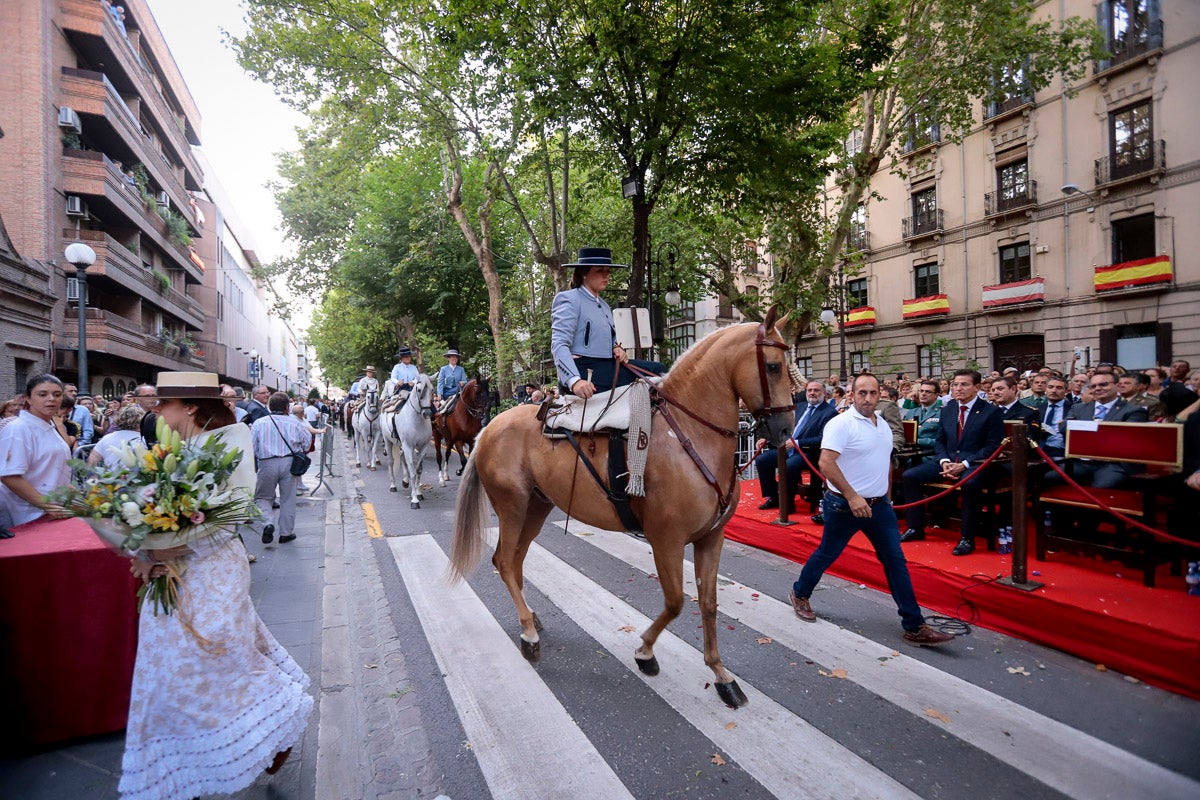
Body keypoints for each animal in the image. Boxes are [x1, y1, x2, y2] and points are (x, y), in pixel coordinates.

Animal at [379, 376, 436, 506]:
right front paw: (414, 499)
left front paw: (418, 493)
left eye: (432, 389)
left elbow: (418, 470)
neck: (417, 420)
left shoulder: (422, 447)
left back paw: (405, 482)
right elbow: (412, 472)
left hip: (402, 445)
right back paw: (393, 485)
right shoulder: (408, 446)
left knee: (402, 458)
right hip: (388, 441)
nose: (427, 413)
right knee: (391, 461)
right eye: (419, 390)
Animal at [446, 311, 792, 705]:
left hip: (537, 508)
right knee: (504, 561)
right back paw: (529, 635)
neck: (689, 434)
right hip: (513, 508)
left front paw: (720, 674)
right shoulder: (666, 541)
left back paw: (530, 620)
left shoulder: (711, 538)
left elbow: (708, 603)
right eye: (773, 366)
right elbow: (675, 601)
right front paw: (645, 652)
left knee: (514, 562)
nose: (785, 431)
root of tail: (489, 428)